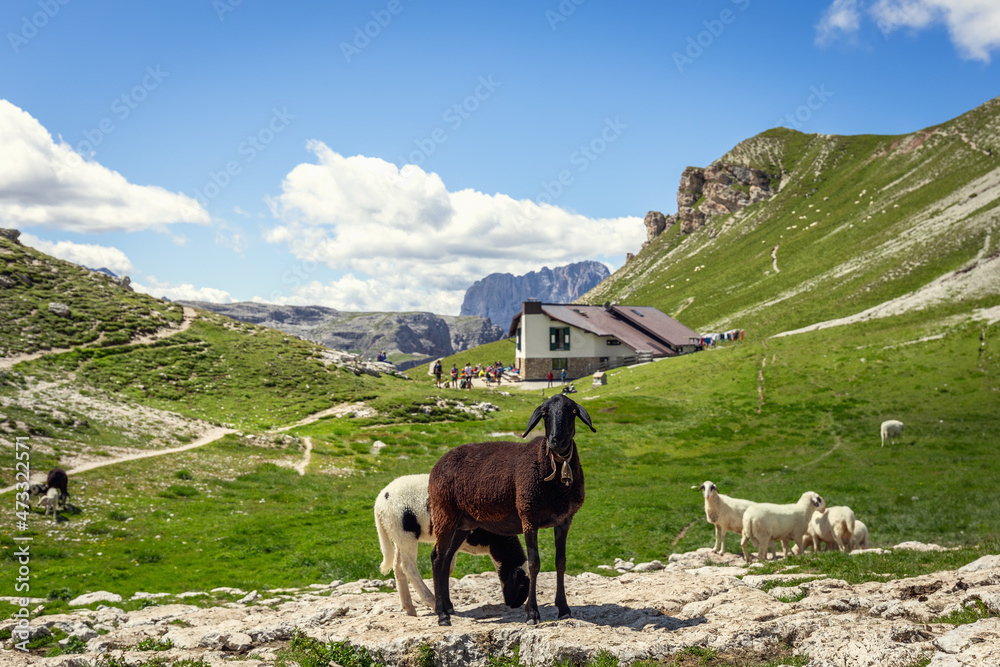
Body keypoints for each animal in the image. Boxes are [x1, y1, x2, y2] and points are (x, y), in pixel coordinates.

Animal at [374, 473, 529, 616]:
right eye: (521, 584)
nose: (516, 605)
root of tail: (379, 502)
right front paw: (445, 604)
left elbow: (448, 567)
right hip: (406, 532)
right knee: (408, 567)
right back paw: (431, 601)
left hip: (398, 532)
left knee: (398, 567)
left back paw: (409, 608)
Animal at [428, 394, 595, 626]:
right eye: (544, 413)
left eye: (572, 411)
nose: (557, 440)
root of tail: (438, 463)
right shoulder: (528, 515)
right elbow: (534, 563)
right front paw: (532, 613)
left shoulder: (564, 520)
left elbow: (560, 563)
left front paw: (563, 608)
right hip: (444, 512)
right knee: (437, 557)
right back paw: (441, 614)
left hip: (462, 522)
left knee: (446, 558)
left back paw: (449, 607)